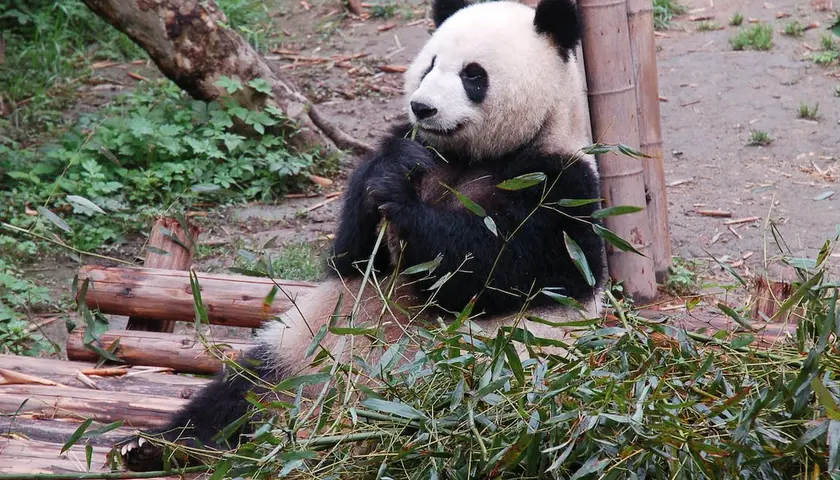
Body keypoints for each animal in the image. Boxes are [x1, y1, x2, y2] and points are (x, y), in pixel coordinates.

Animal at [123, 0, 605, 470]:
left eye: (473, 75)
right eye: (430, 65)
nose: (422, 108)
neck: (472, 157)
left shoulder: (560, 187)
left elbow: (491, 267)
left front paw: (406, 207)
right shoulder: (419, 152)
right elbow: (352, 254)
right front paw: (392, 171)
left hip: (484, 384)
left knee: (443, 420)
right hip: (300, 351)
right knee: (241, 392)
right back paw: (158, 446)